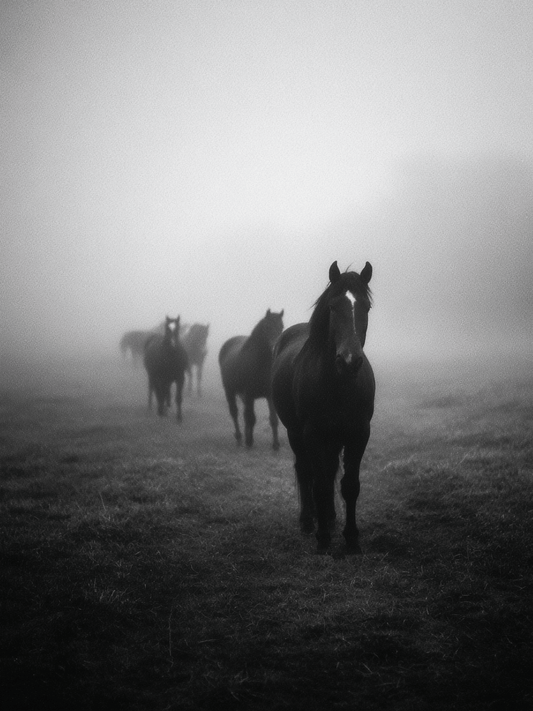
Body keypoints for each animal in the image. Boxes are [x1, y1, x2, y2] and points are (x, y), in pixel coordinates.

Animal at [219, 309, 284, 449]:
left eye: (281, 327)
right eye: (267, 327)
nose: (274, 348)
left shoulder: (269, 396)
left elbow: (273, 420)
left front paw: (276, 444)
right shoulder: (249, 395)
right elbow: (251, 418)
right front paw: (249, 441)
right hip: (229, 391)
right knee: (235, 413)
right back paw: (239, 437)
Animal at [271, 261, 375, 553]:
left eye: (366, 307)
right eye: (333, 307)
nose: (350, 361)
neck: (339, 385)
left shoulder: (358, 433)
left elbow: (349, 486)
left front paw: (351, 539)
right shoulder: (313, 434)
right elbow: (319, 485)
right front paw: (323, 539)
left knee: (328, 472)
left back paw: (328, 516)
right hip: (296, 434)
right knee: (306, 471)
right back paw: (309, 521)